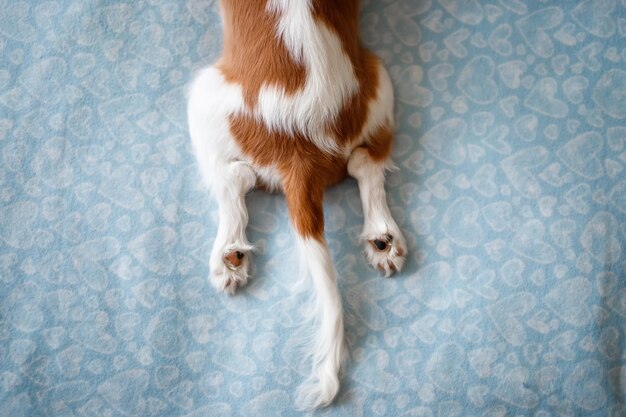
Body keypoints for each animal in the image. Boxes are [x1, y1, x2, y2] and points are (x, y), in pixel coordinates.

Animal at [188, 0, 408, 410]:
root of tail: (300, 146)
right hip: (378, 83)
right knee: (367, 164)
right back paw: (382, 240)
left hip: (202, 98)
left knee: (234, 180)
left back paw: (228, 256)